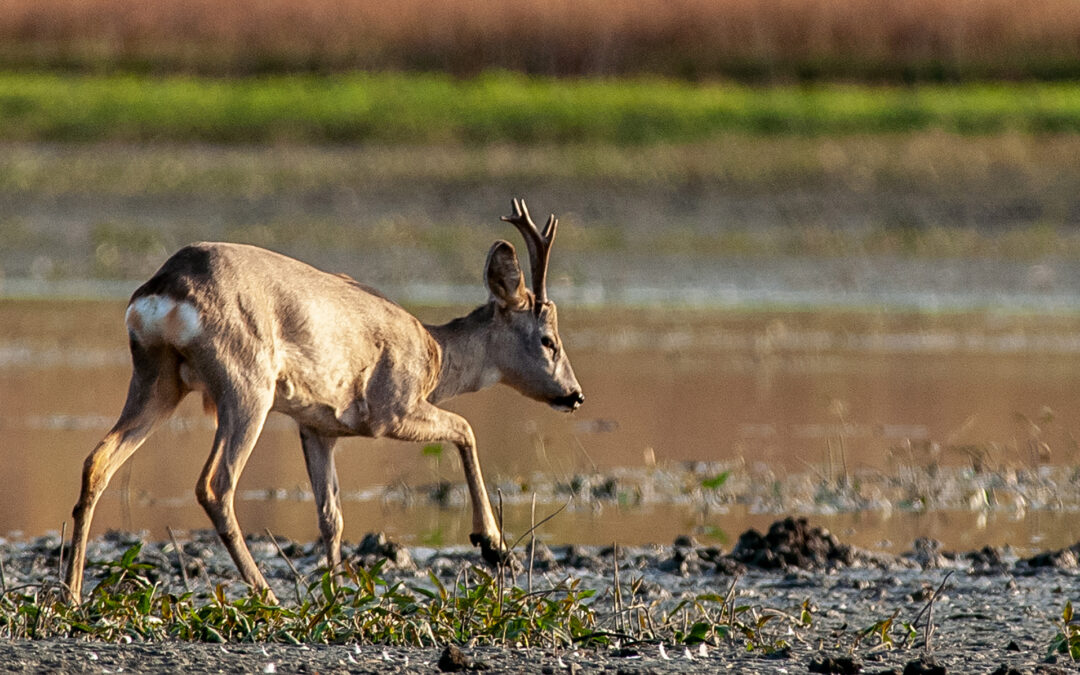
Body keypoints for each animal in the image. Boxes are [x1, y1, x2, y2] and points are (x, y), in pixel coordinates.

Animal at [63, 198, 587, 600]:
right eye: (548, 340)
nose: (575, 395)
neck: (435, 357)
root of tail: (165, 287)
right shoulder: (390, 409)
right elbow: (466, 429)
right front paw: (491, 543)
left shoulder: (317, 426)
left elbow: (331, 514)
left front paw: (335, 593)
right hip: (245, 382)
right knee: (215, 484)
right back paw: (267, 595)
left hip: (156, 378)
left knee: (97, 461)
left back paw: (71, 594)